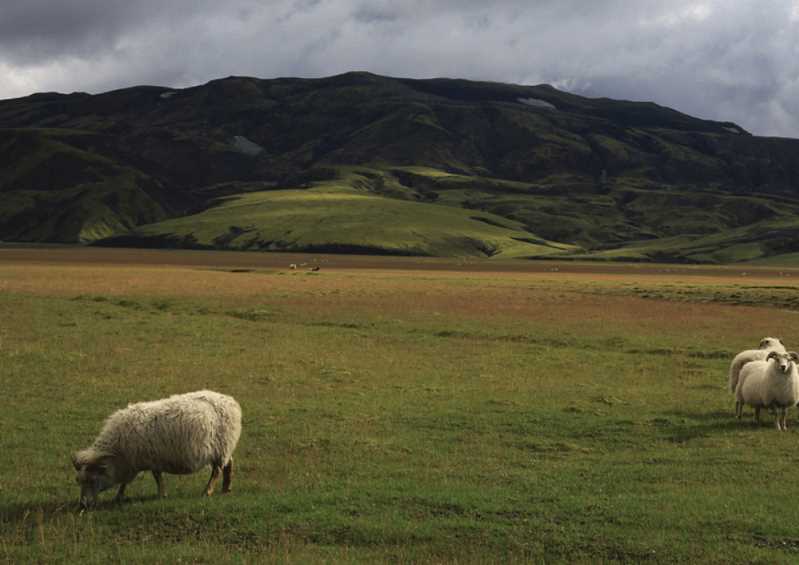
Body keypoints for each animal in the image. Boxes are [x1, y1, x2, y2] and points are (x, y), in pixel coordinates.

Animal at [72, 390, 241, 508]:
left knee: (217, 470)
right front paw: (118, 496)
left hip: (220, 447)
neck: (118, 453)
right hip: (224, 447)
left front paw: (161, 494)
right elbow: (125, 482)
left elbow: (156, 477)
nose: (83, 504)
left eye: (92, 480)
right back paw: (226, 489)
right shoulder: (132, 463)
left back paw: (207, 491)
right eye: (78, 481)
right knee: (229, 464)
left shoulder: (150, 459)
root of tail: (231, 402)